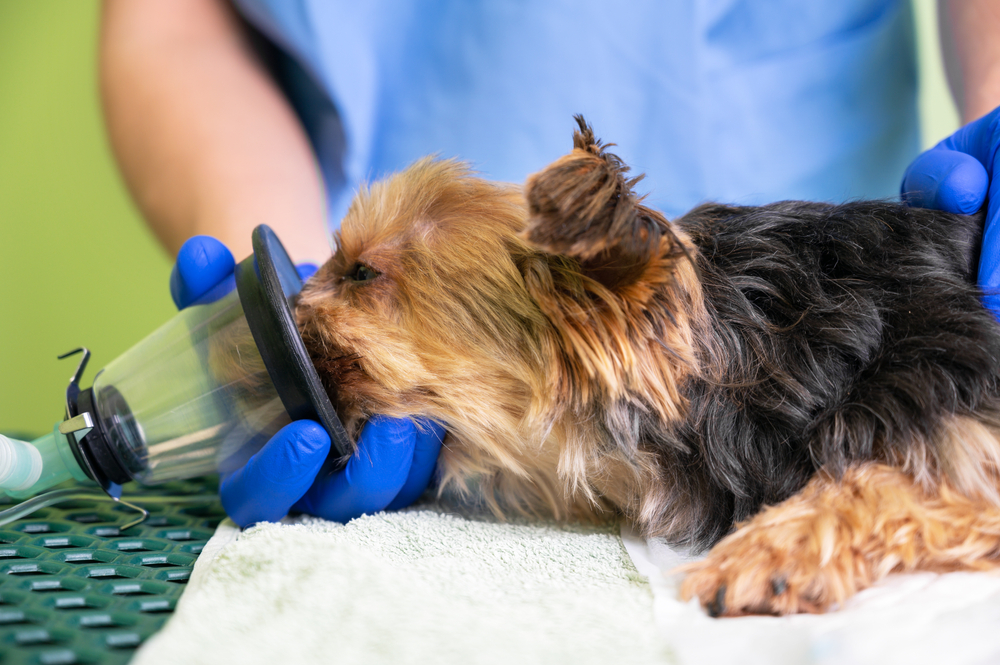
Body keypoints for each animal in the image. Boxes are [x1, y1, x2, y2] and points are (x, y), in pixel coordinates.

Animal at [292, 115, 1000, 616]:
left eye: (362, 272)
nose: (292, 303)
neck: (761, 348)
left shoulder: (948, 388)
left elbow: (883, 477)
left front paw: (771, 551)